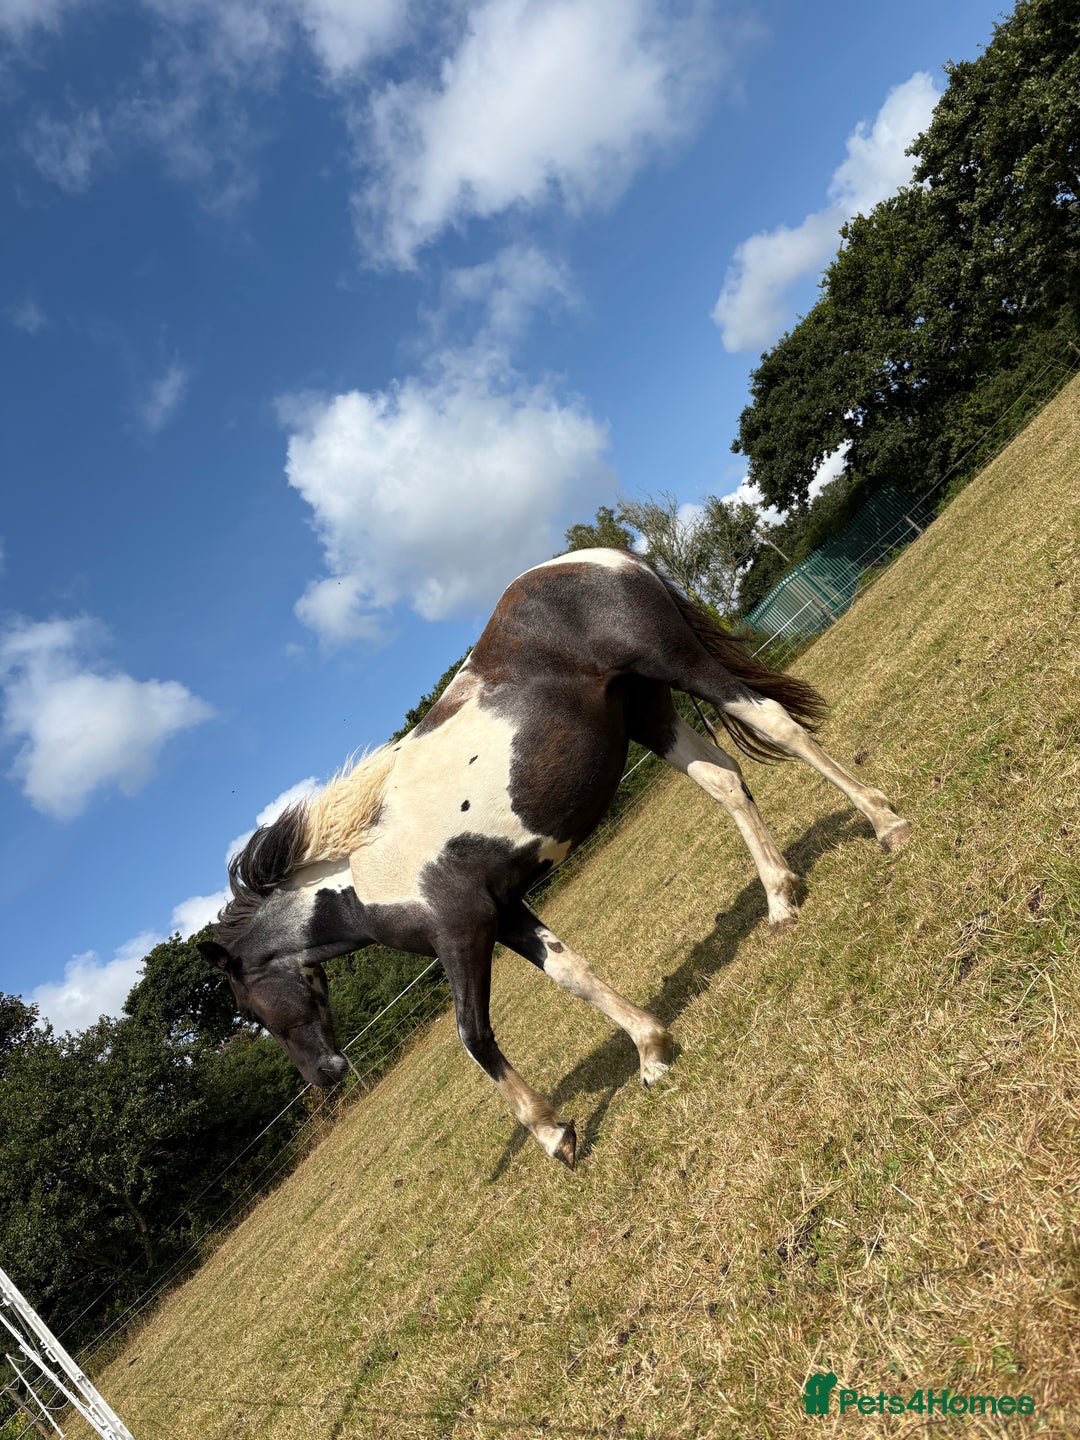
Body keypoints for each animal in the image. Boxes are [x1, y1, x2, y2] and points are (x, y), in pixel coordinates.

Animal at [199, 548, 911, 1168]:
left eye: (251, 1010)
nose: (324, 1075)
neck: (364, 870)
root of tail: (596, 559)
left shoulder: (461, 934)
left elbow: (474, 1037)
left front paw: (553, 1133)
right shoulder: (506, 914)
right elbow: (571, 974)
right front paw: (651, 1051)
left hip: (681, 668)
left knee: (778, 726)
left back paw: (887, 823)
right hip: (648, 712)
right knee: (724, 780)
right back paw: (780, 897)